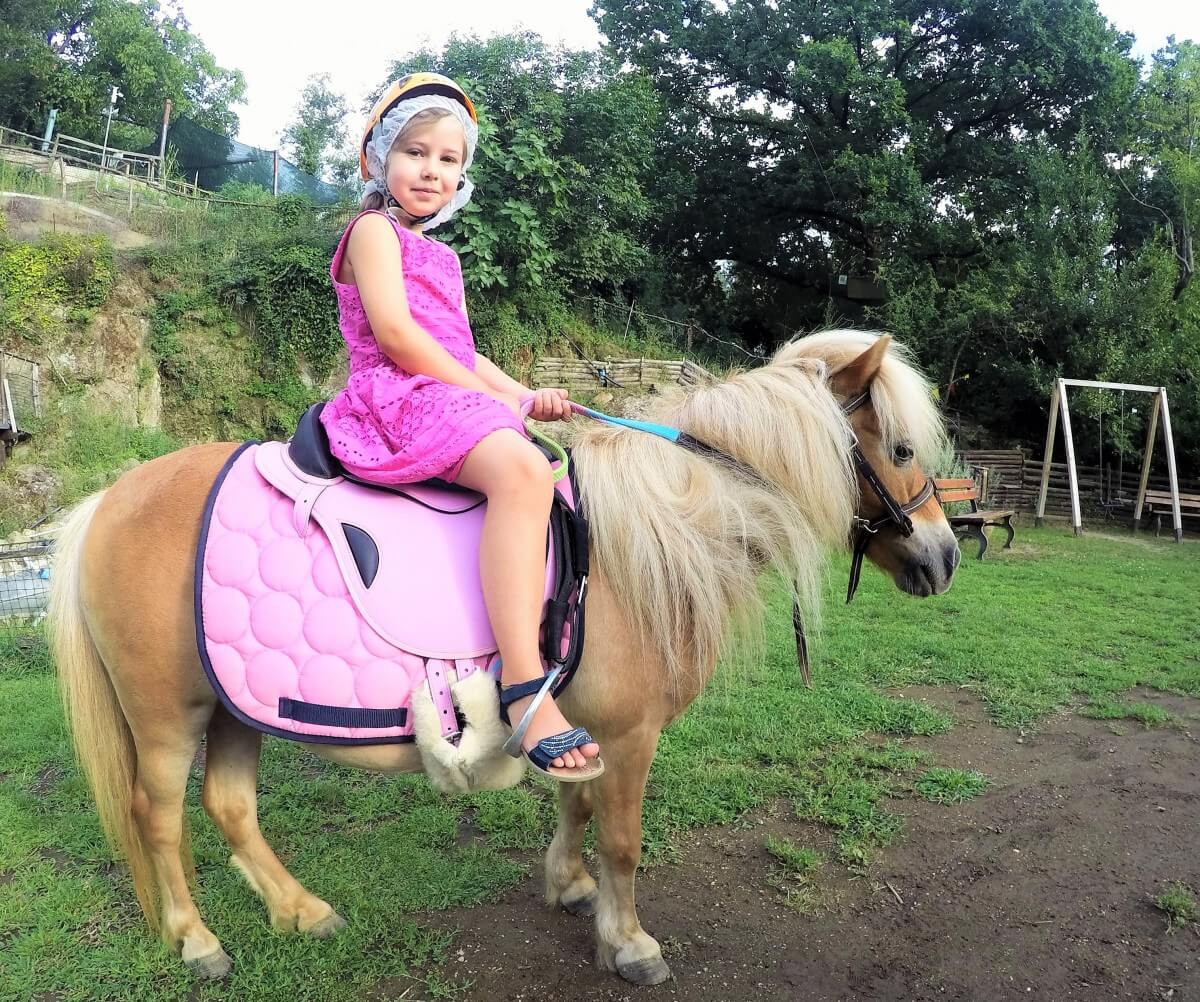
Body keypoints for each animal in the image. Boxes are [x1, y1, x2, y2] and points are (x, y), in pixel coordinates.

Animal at [48, 329, 959, 986]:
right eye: (902, 451)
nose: (946, 556)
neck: (651, 537)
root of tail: (108, 499)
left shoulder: (587, 728)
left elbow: (578, 806)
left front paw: (570, 888)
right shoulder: (630, 734)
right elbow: (623, 839)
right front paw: (630, 943)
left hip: (236, 702)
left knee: (231, 805)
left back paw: (302, 912)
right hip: (166, 714)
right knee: (158, 815)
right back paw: (198, 943)